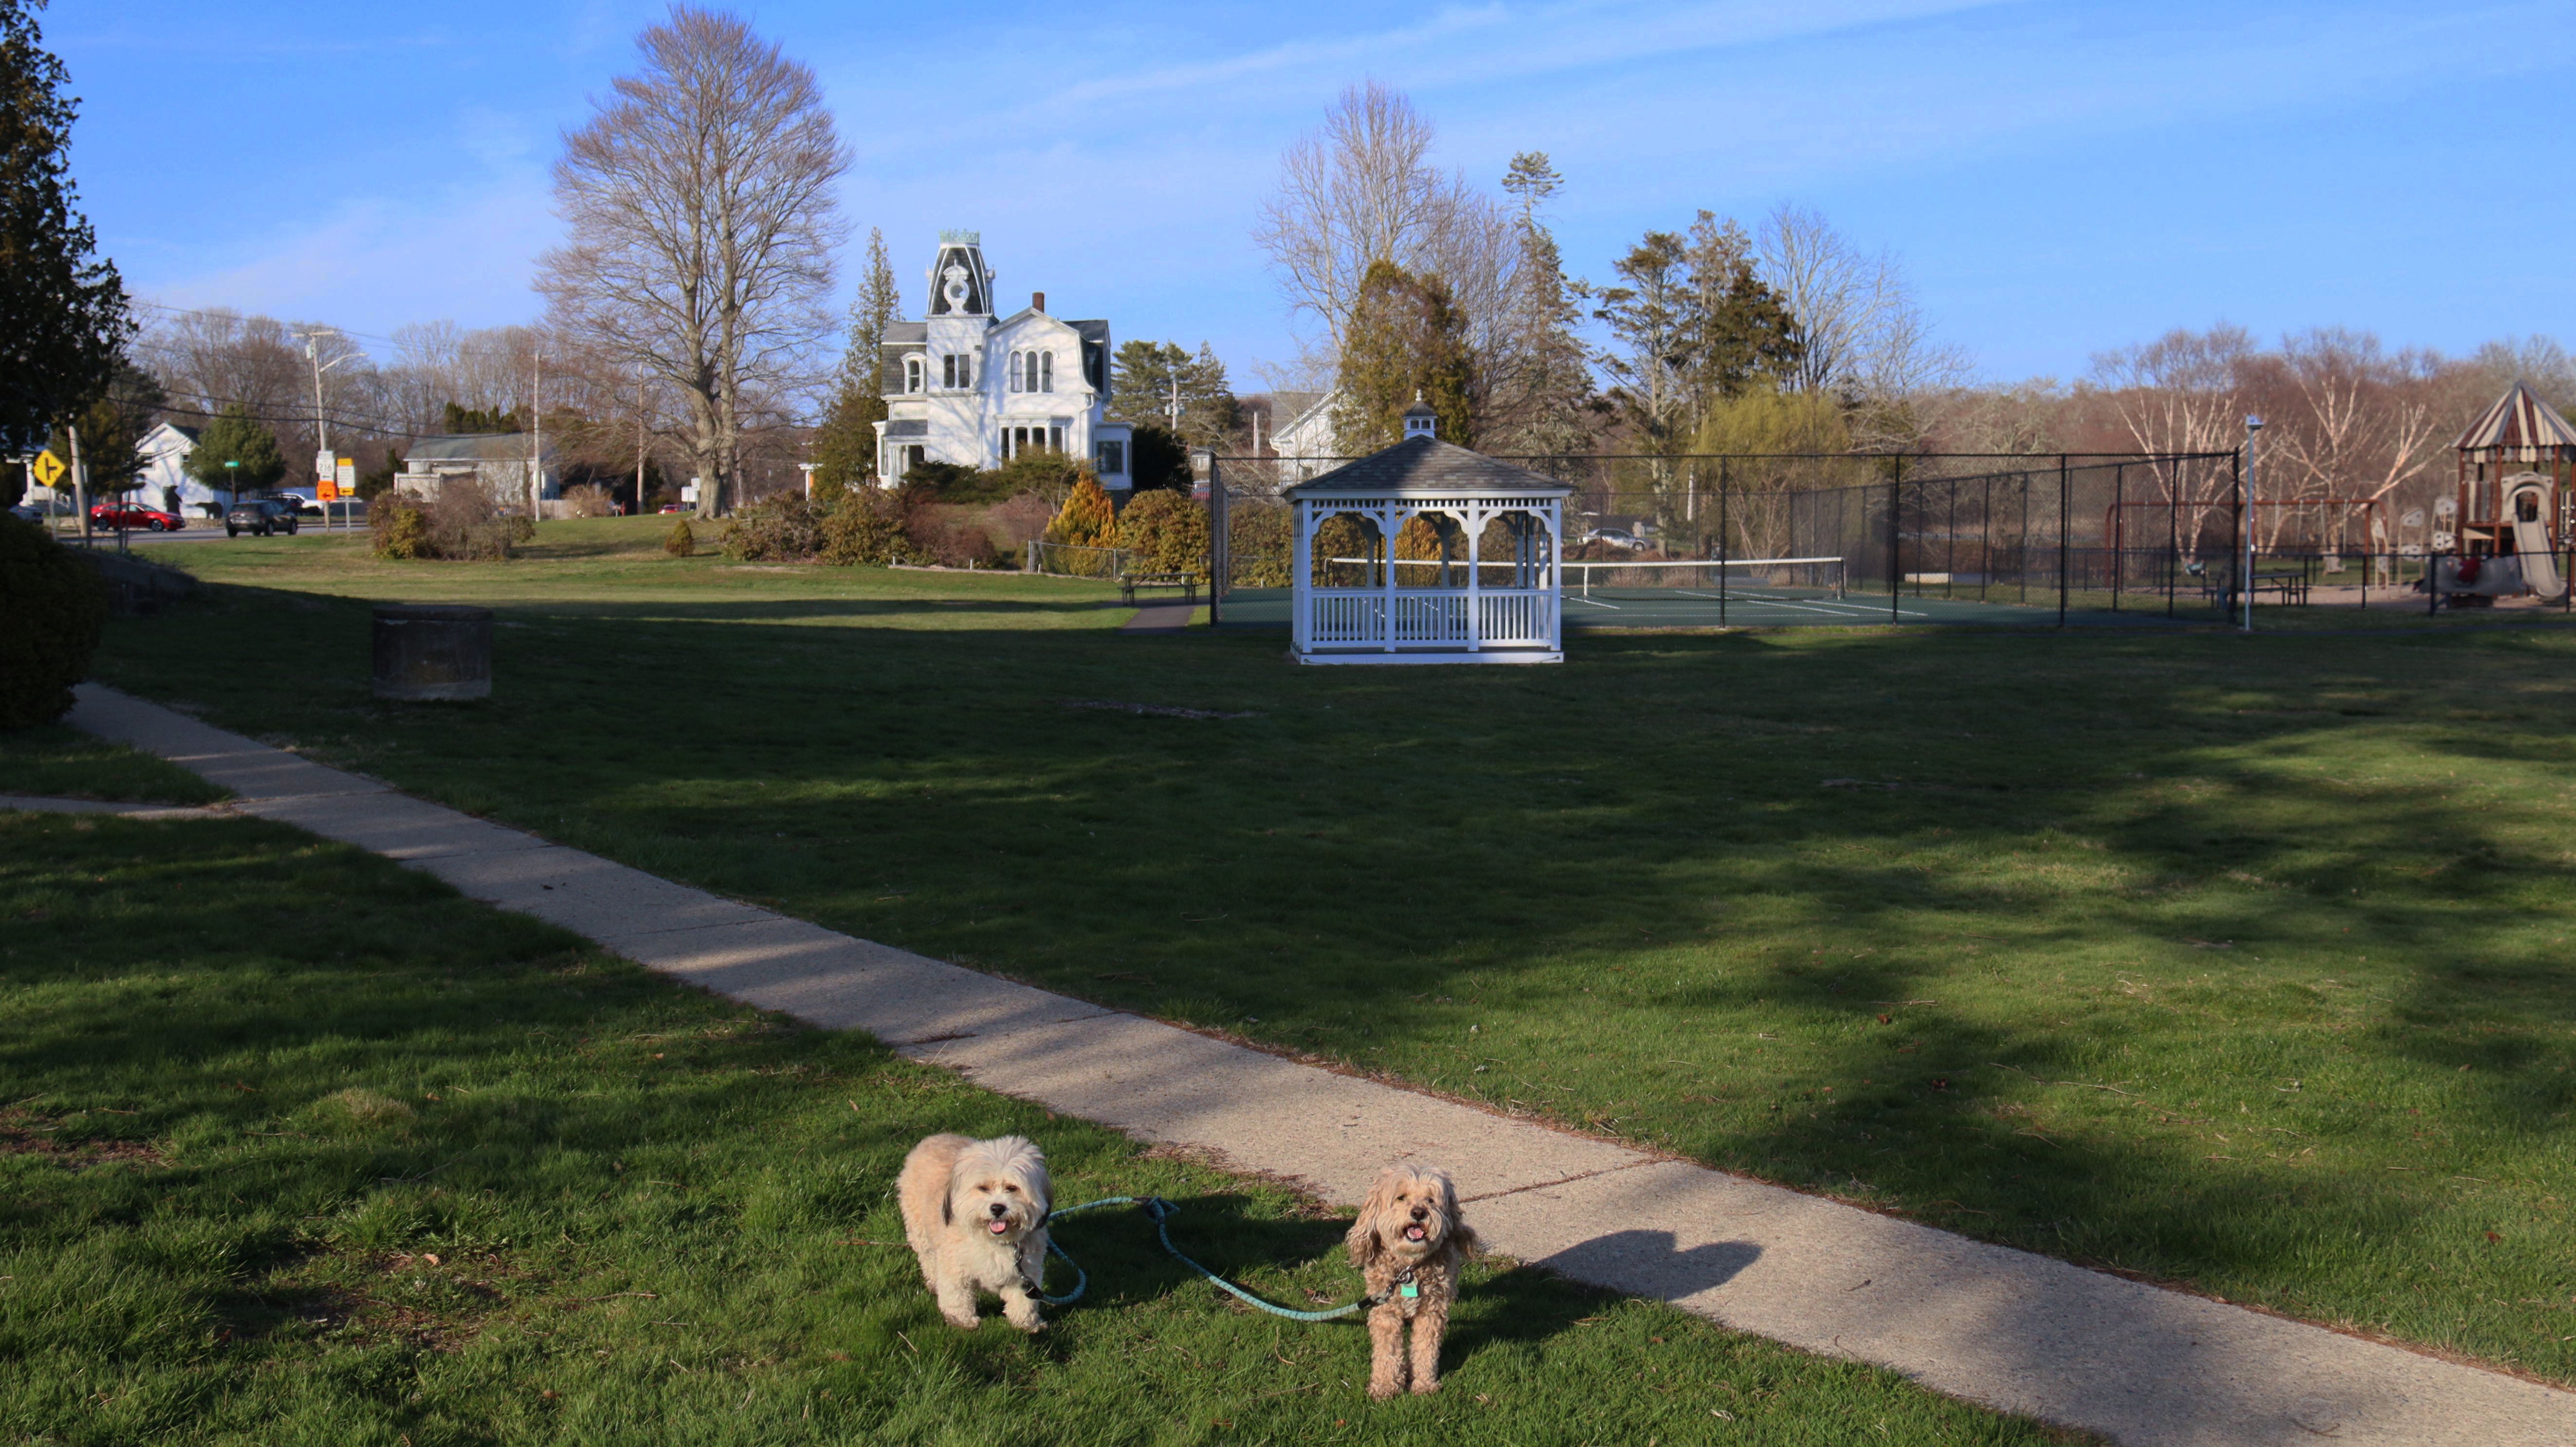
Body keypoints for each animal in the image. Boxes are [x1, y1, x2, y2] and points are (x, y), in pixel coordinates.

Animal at [896, 1133, 1053, 1332]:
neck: (993, 1241)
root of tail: (936, 1136)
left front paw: (1027, 1324)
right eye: (983, 1188)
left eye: (1012, 1188)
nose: (997, 1208)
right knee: (928, 1258)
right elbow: (957, 1296)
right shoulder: (954, 1269)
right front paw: (962, 1321)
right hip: (919, 1230)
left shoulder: (1025, 1275)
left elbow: (1024, 1302)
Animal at [1345, 1162, 1476, 1398]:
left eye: (1430, 1199)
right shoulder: (1385, 1309)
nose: (1418, 1212)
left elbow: (1426, 1348)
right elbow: (1387, 1349)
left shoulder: (1431, 1310)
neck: (1409, 1267)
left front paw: (1424, 1384)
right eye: (1401, 1197)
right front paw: (1385, 1385)